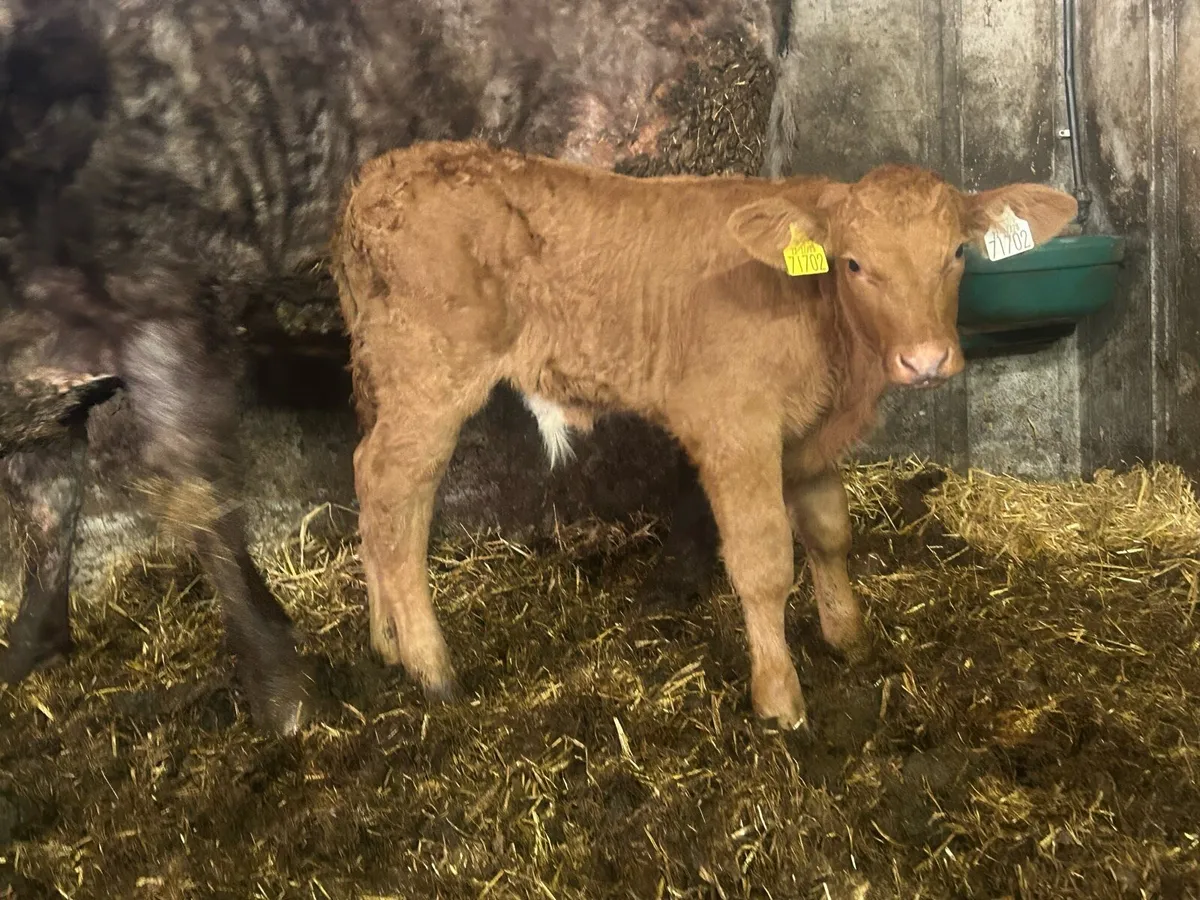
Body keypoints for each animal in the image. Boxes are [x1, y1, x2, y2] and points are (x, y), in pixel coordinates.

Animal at [0, 0, 781, 735]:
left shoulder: (172, 303)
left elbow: (197, 497)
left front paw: (285, 701)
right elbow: (47, 506)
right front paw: (27, 651)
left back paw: (669, 585)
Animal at [331, 140, 1078, 729]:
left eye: (956, 253)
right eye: (855, 264)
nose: (924, 360)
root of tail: (383, 174)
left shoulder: (809, 437)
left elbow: (830, 532)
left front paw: (848, 637)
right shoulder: (734, 429)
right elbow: (764, 562)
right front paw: (779, 698)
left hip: (386, 379)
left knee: (368, 483)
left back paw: (385, 644)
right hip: (429, 378)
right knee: (396, 493)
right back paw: (432, 667)